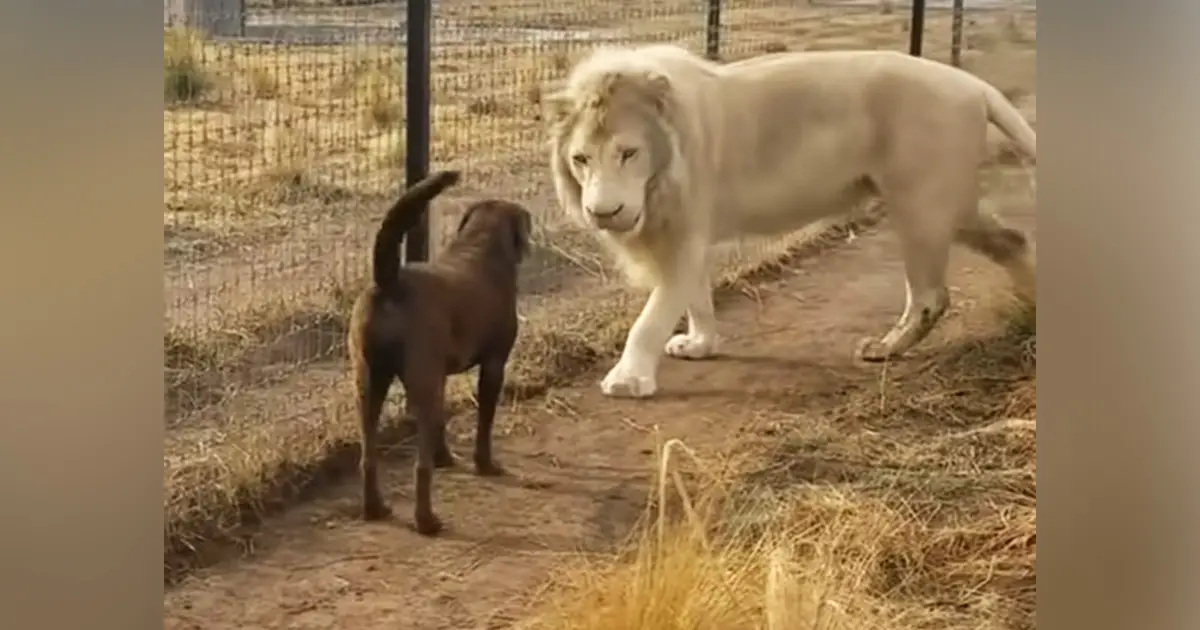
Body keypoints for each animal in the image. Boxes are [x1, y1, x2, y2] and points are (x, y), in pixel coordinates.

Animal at [350, 170, 532, 535]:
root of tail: (389, 281)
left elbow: (441, 422)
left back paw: (375, 508)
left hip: (369, 382)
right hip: (419, 382)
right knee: (419, 468)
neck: (479, 245)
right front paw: (485, 464)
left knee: (368, 456)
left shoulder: (441, 377)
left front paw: (445, 458)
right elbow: (484, 422)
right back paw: (427, 521)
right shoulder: (494, 365)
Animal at [540, 45, 1036, 398]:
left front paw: (627, 379)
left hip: (920, 204)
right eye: (581, 159)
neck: (658, 177)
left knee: (931, 295)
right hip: (951, 205)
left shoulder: (684, 233)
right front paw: (700, 345)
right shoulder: (690, 235)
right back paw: (1030, 314)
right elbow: (697, 298)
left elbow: (652, 316)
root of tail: (974, 83)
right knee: (1014, 239)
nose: (603, 212)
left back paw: (882, 349)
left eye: (628, 153)